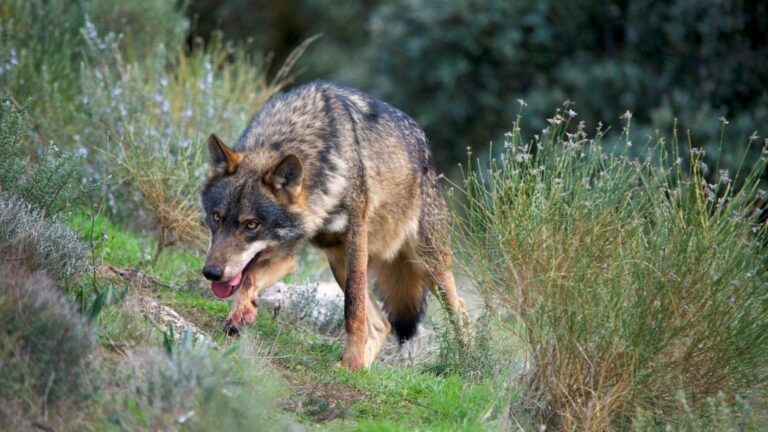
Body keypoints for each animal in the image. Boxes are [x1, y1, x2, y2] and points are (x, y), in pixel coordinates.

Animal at [200, 81, 466, 369]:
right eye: (216, 217)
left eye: (251, 225)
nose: (211, 272)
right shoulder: (287, 253)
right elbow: (249, 278)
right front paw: (241, 313)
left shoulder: (355, 240)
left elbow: (353, 310)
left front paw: (351, 359)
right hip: (339, 261)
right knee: (382, 325)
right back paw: (360, 369)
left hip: (426, 265)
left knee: (460, 309)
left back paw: (467, 362)